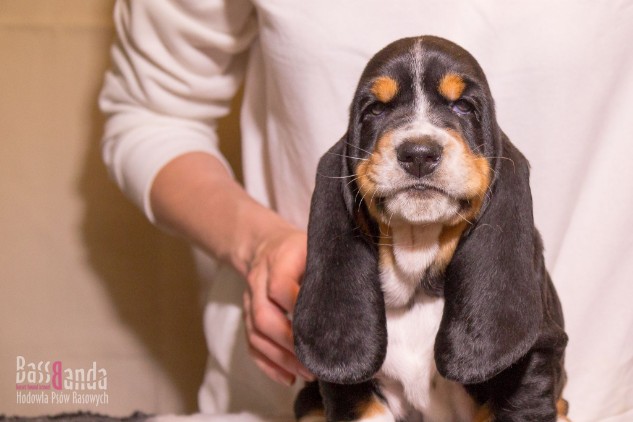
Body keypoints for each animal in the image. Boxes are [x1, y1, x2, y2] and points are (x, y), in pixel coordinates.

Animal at [294, 37, 572, 422]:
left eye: (464, 107)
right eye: (375, 111)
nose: (418, 153)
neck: (418, 281)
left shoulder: (530, 376)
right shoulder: (346, 393)